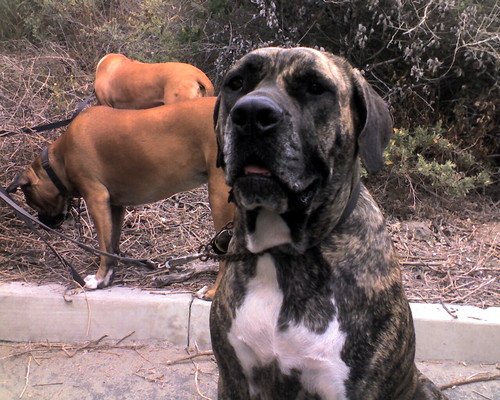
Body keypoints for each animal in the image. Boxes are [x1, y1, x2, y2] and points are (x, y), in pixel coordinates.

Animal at [7, 97, 233, 296]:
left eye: (31, 202)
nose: (45, 224)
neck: (59, 160)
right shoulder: (115, 206)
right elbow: (112, 244)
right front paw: (108, 277)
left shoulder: (96, 199)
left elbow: (103, 246)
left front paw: (98, 280)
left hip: (219, 199)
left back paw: (212, 292)